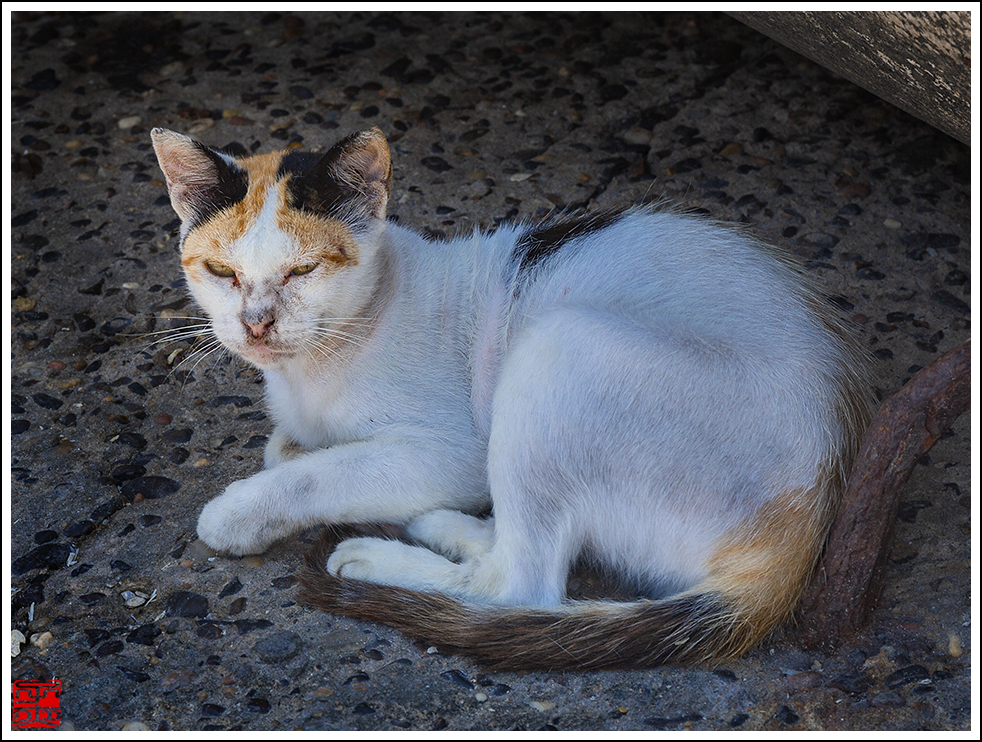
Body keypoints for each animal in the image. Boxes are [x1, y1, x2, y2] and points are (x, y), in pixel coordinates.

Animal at [150, 125, 872, 672]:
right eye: (221, 271)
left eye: (302, 270)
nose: (256, 324)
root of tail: (806, 528)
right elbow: (292, 451)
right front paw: (297, 449)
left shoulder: (453, 453)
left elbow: (316, 474)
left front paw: (237, 514)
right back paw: (448, 527)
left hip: (560, 349)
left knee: (522, 584)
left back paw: (380, 558)